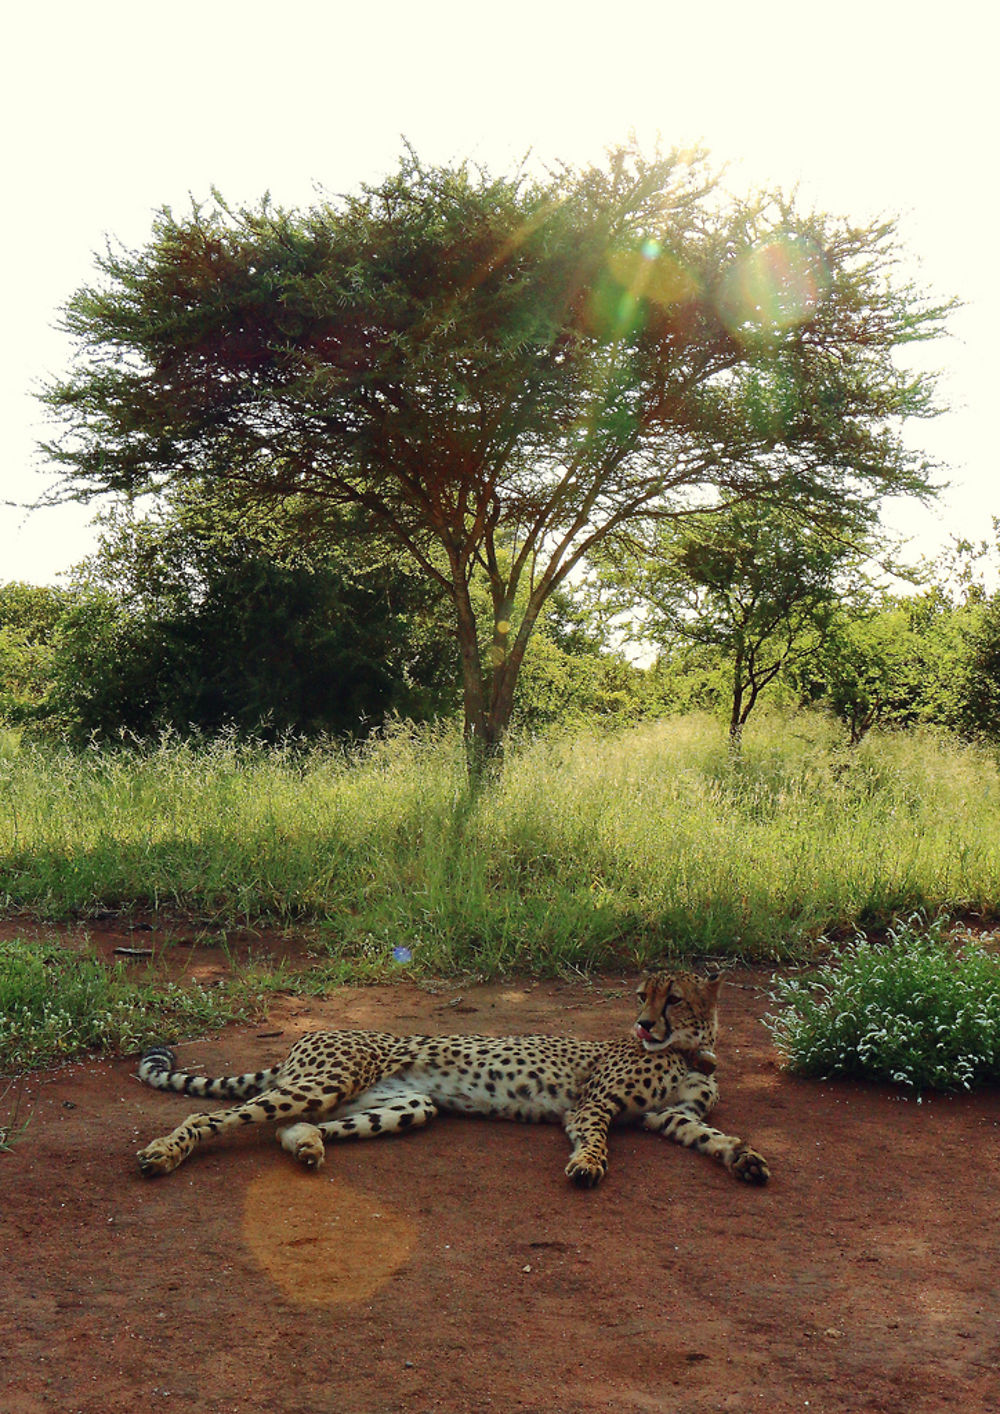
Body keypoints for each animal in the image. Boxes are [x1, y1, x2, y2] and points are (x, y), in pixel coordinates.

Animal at [135, 967, 769, 1187]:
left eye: (673, 999)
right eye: (642, 996)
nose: (642, 1024)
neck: (689, 1052)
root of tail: (310, 1034)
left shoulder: (670, 1117)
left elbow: (713, 1135)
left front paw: (745, 1158)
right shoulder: (590, 1105)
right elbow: (594, 1137)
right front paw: (587, 1166)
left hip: (409, 1105)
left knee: (285, 1128)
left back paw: (310, 1147)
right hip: (324, 1081)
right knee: (209, 1113)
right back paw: (163, 1154)